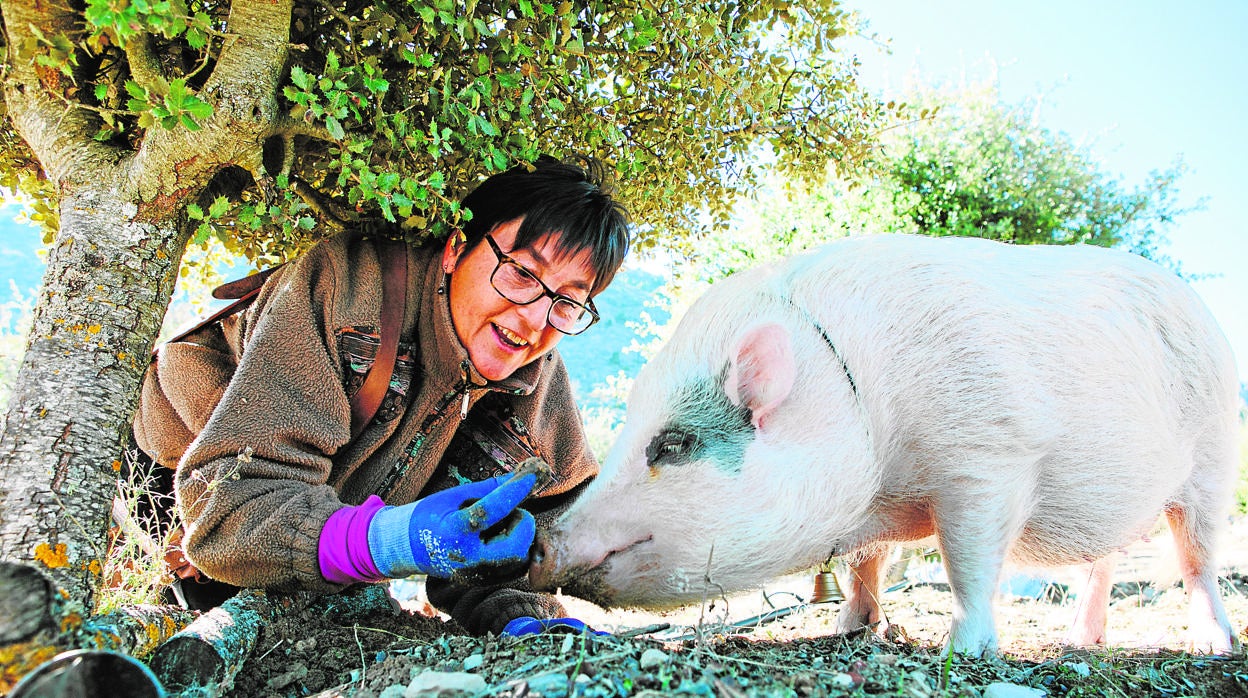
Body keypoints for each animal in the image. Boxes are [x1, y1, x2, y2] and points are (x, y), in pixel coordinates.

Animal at [531, 233, 1243, 654]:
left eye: (673, 443)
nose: (542, 540)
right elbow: (861, 563)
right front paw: (851, 626)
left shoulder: (988, 460)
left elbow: (967, 562)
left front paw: (965, 649)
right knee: (1107, 558)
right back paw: (1078, 642)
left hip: (1214, 454)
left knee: (1196, 559)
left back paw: (1214, 645)